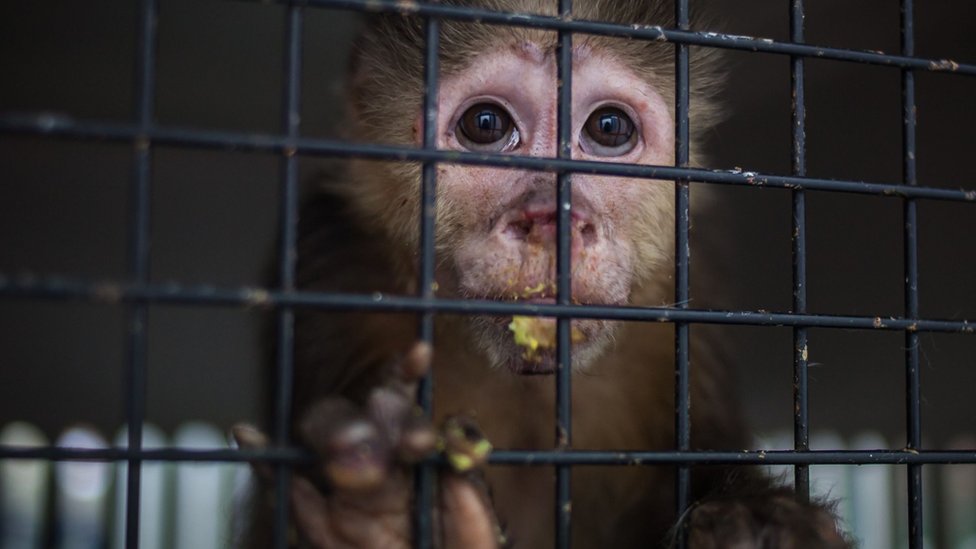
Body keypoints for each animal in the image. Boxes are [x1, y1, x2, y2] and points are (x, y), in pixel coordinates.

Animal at [233, 0, 852, 544]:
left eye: (609, 128)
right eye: (485, 124)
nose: (555, 217)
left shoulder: (693, 294)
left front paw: (761, 523)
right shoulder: (330, 266)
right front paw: (382, 519)